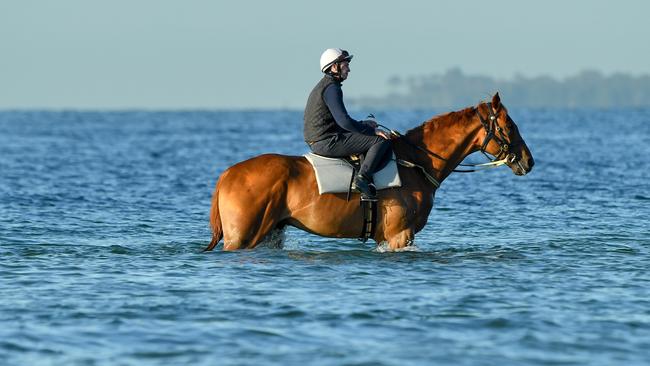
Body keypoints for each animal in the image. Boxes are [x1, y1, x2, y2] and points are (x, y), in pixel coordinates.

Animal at [205, 91, 536, 252]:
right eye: (508, 126)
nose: (528, 160)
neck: (415, 162)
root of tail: (228, 174)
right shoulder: (400, 236)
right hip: (241, 237)